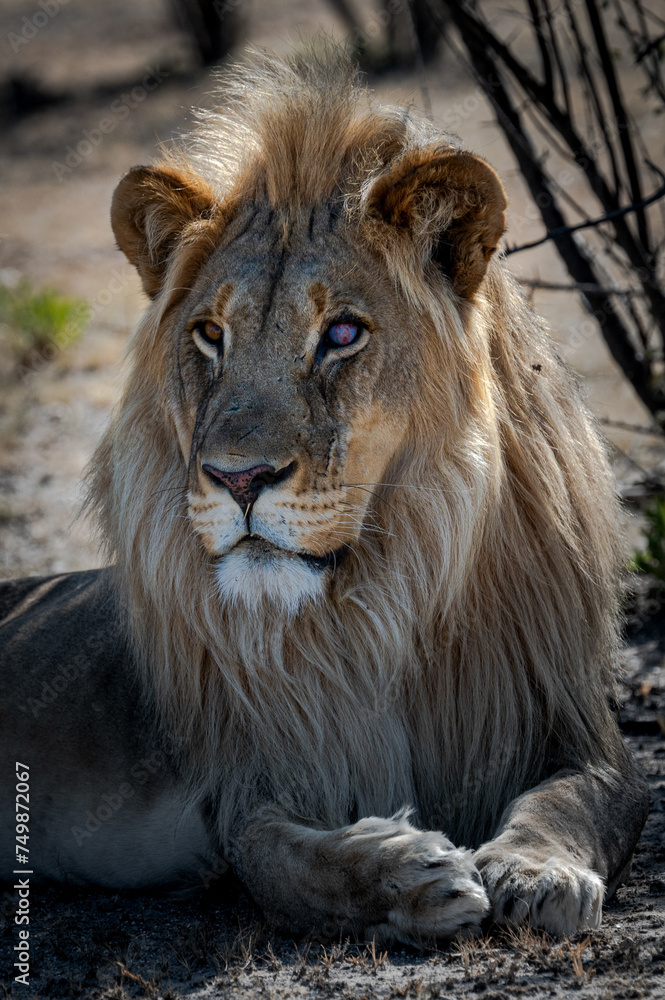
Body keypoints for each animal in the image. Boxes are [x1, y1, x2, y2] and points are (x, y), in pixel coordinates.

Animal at [0, 45, 649, 943]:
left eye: (341, 333)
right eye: (210, 334)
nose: (237, 478)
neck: (386, 600)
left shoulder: (577, 722)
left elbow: (577, 797)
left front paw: (535, 870)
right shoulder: (255, 784)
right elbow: (280, 865)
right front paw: (408, 874)